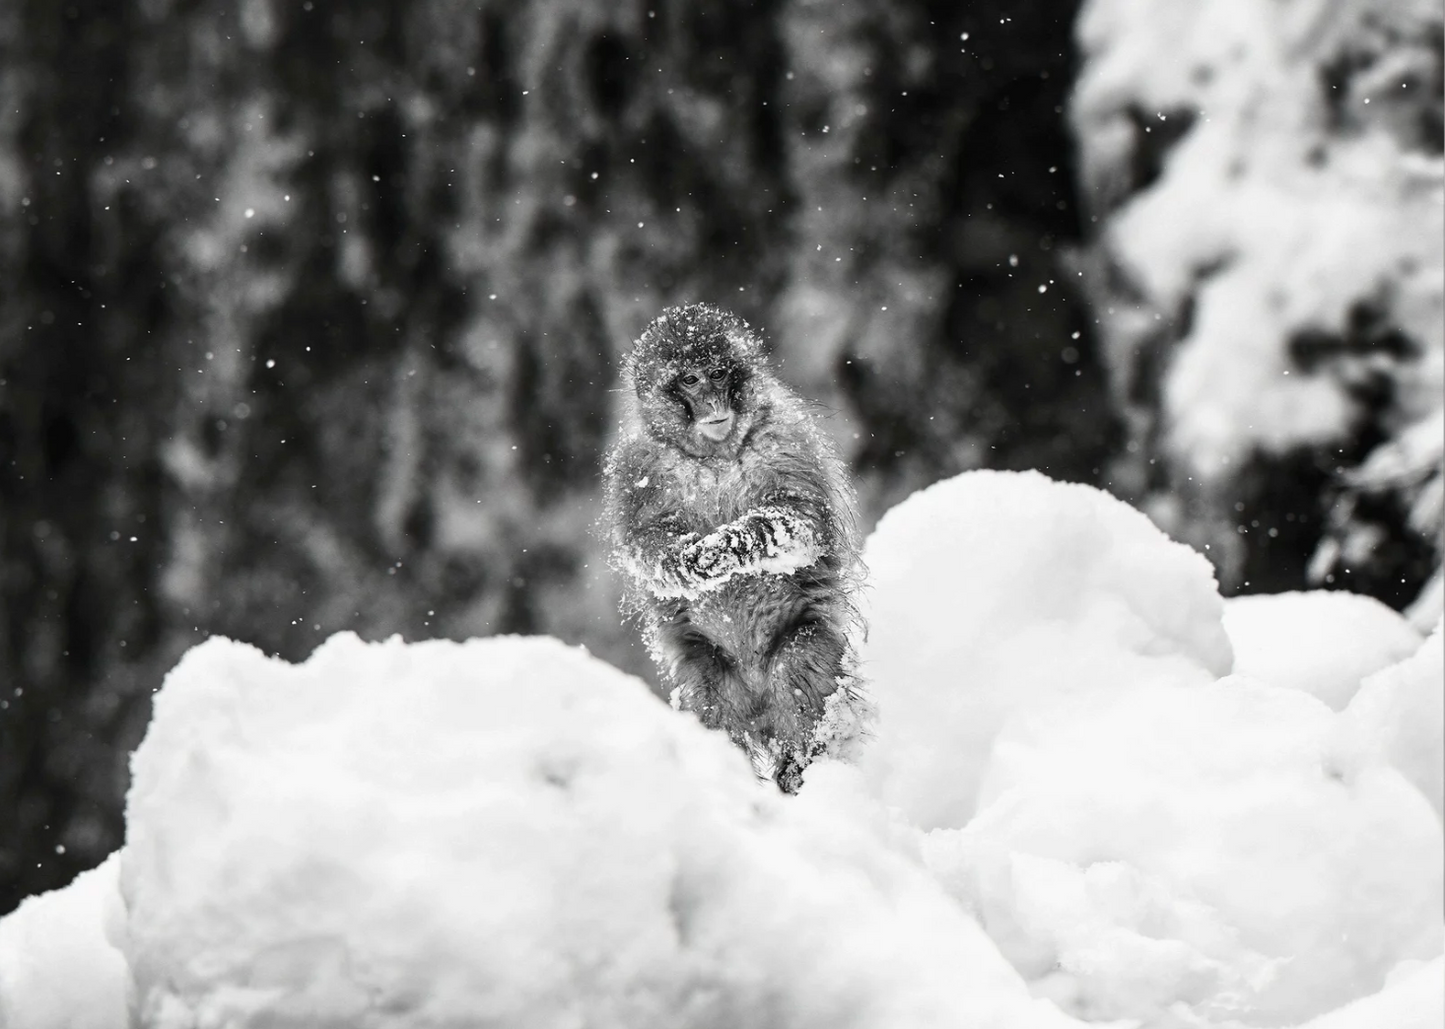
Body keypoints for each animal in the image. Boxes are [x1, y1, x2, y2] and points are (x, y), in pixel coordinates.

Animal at [601, 302, 867, 791]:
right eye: (690, 380)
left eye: (719, 373)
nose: (713, 403)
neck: (714, 456)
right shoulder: (637, 468)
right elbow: (646, 546)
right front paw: (688, 559)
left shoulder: (786, 438)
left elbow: (803, 520)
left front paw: (732, 544)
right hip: (708, 668)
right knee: (710, 697)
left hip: (802, 641)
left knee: (797, 667)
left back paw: (797, 768)